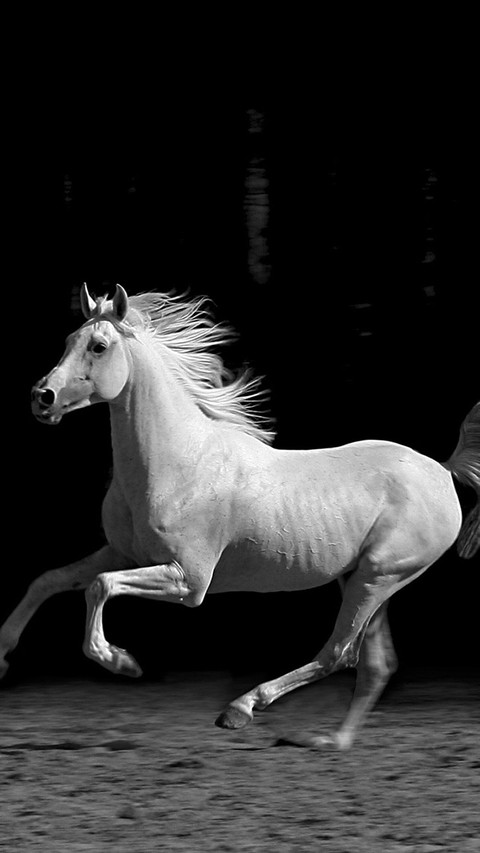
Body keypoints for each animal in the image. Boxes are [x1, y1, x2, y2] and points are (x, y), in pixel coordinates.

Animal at [1, 284, 478, 749]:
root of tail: (443, 471)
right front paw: (4, 656)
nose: (42, 398)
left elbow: (99, 587)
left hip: (378, 576)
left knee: (339, 653)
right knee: (375, 664)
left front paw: (122, 662)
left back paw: (241, 709)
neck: (178, 463)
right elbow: (50, 580)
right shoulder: (122, 553)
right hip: (361, 578)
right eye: (68, 340)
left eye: (98, 346)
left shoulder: (189, 581)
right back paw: (330, 741)